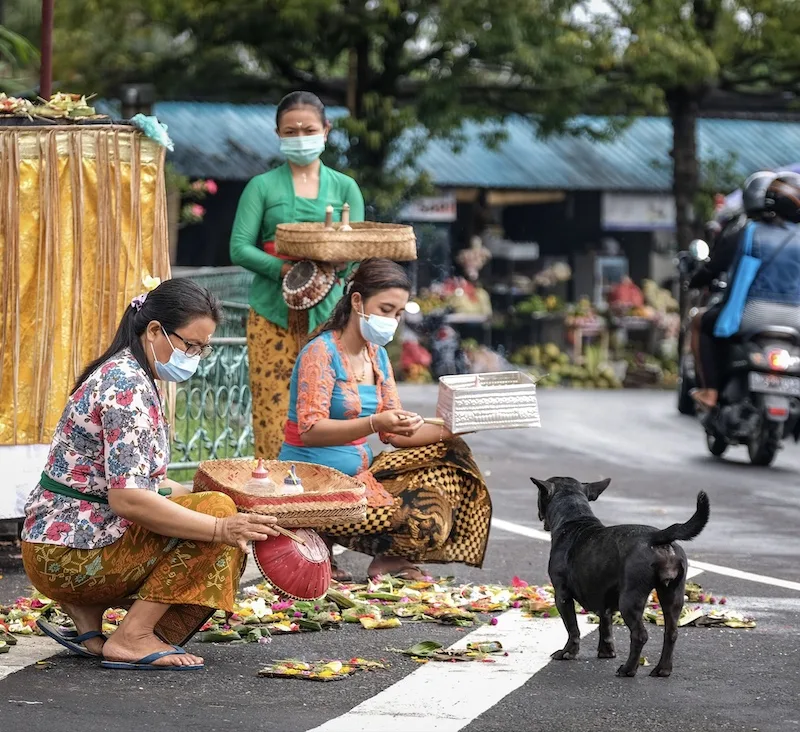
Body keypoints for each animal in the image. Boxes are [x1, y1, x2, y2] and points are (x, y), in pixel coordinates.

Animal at [536, 478, 708, 676]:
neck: (574, 519)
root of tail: (657, 536)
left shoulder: (562, 596)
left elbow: (573, 628)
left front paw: (567, 653)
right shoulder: (604, 599)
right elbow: (605, 625)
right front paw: (606, 652)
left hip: (630, 600)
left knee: (639, 635)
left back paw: (628, 669)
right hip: (672, 595)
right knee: (671, 633)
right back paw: (662, 670)